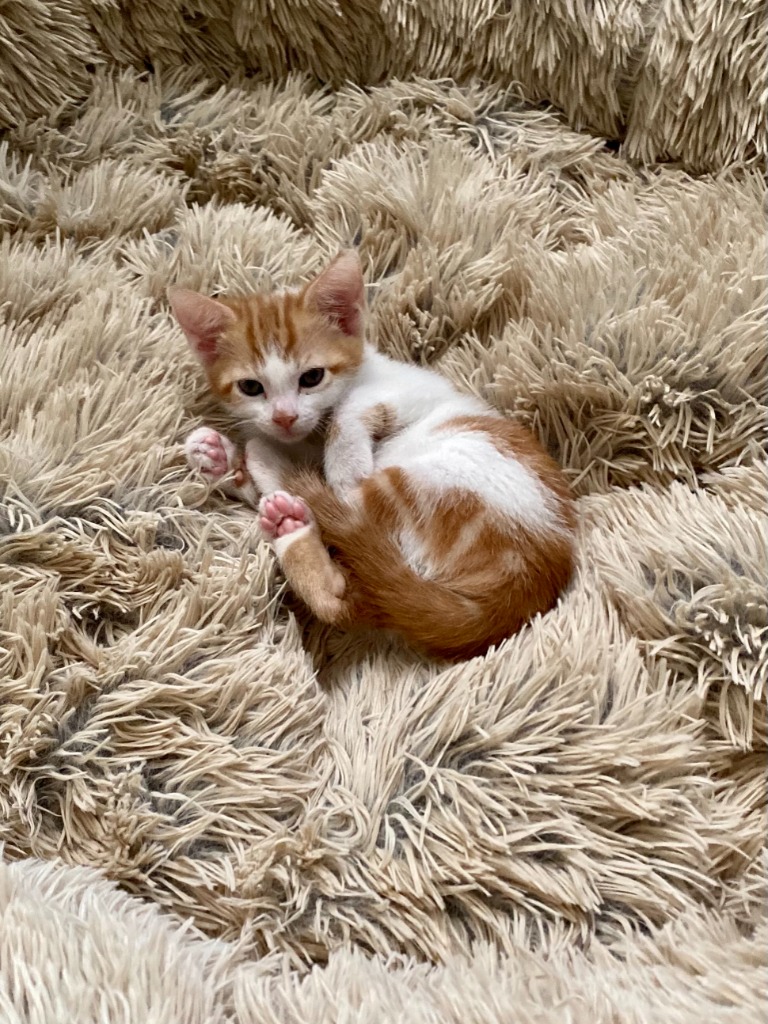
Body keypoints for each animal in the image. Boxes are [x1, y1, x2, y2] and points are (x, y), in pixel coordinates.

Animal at [169, 251, 575, 660]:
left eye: (312, 377)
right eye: (251, 387)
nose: (284, 416)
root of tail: (522, 588)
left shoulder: (415, 390)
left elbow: (351, 409)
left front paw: (341, 464)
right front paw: (217, 457)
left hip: (436, 479)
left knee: (352, 513)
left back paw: (275, 467)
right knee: (343, 600)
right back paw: (288, 523)